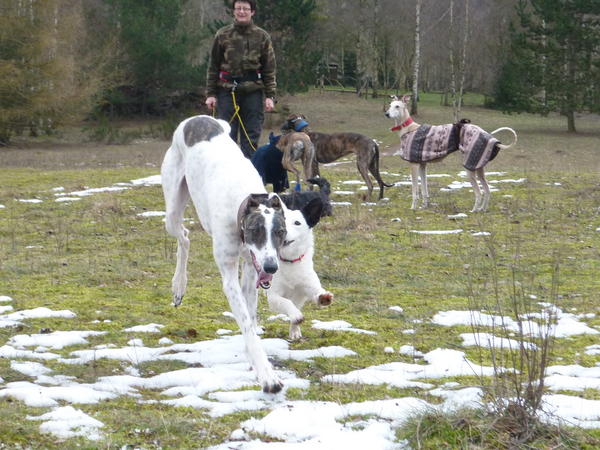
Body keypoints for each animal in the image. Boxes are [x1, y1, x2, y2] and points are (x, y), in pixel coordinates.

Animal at [162, 114, 288, 392]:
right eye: (255, 230)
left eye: (280, 232)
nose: (272, 268)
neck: (244, 200)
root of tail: (198, 118)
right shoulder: (230, 276)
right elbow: (246, 323)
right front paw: (267, 375)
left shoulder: (252, 268)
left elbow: (250, 318)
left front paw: (255, 362)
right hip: (172, 208)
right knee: (183, 236)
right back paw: (178, 285)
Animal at [268, 199, 332, 340]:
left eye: (297, 223)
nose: (281, 231)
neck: (290, 261)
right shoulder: (273, 296)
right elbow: (286, 302)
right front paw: (295, 315)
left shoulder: (306, 288)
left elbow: (317, 291)